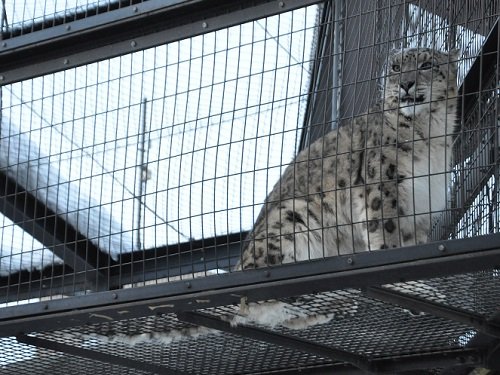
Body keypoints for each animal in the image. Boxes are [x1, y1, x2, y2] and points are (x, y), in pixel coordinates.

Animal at [236, 47, 458, 270]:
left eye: (427, 65)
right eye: (396, 68)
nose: (405, 83)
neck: (431, 134)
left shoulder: (421, 209)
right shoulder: (383, 187)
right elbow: (386, 231)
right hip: (293, 215)